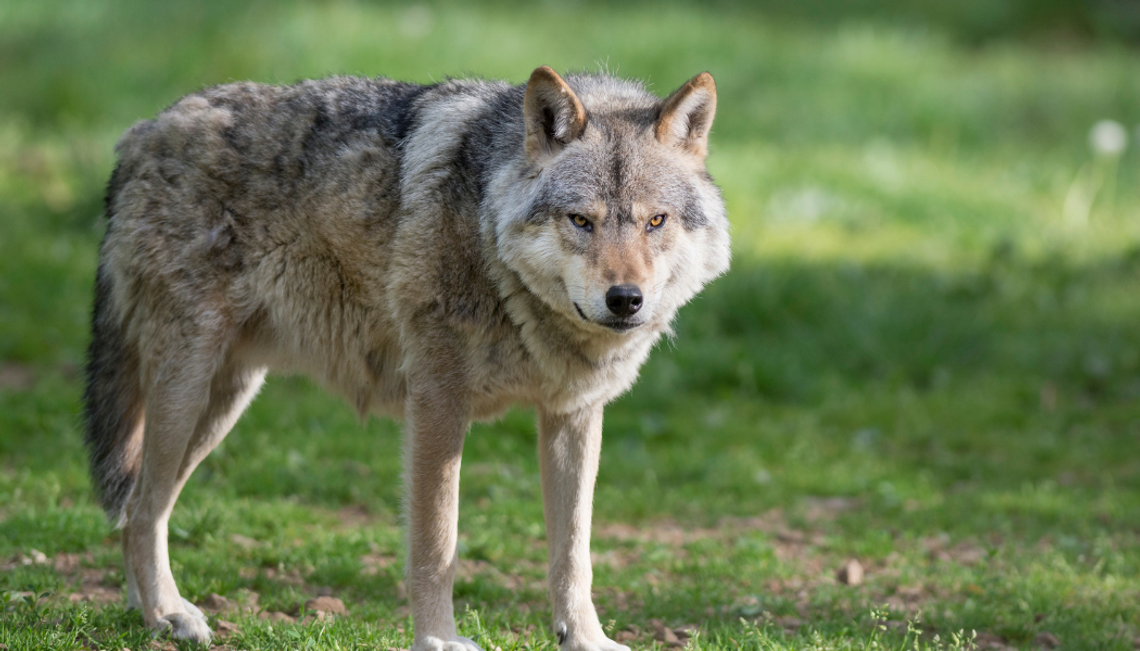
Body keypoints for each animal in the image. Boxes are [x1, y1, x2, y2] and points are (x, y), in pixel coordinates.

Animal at [82, 64, 729, 647]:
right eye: (581, 221)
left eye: (655, 221)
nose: (625, 300)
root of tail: (142, 131)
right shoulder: (437, 402)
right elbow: (437, 543)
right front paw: (439, 639)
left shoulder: (572, 415)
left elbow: (574, 554)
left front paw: (586, 639)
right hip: (187, 392)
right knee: (141, 507)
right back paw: (168, 614)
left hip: (224, 402)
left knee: (139, 509)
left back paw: (150, 612)